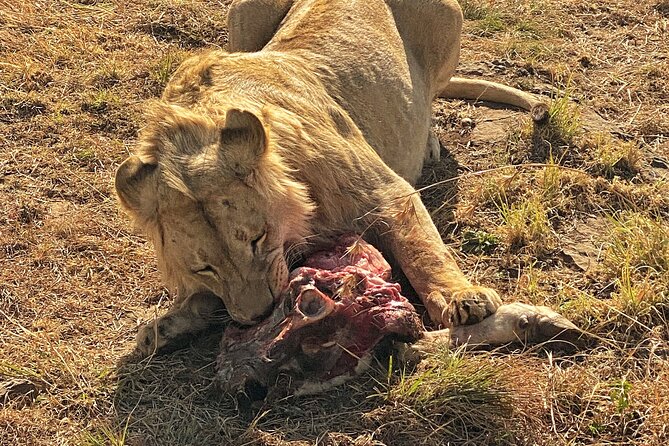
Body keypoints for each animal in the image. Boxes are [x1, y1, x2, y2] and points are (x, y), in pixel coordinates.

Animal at [115, 0, 548, 355]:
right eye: (202, 268)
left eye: (258, 239)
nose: (261, 316)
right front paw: (167, 325)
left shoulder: (387, 192)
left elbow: (423, 250)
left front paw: (463, 299)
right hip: (242, 14)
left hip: (448, 24)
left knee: (432, 94)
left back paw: (428, 140)